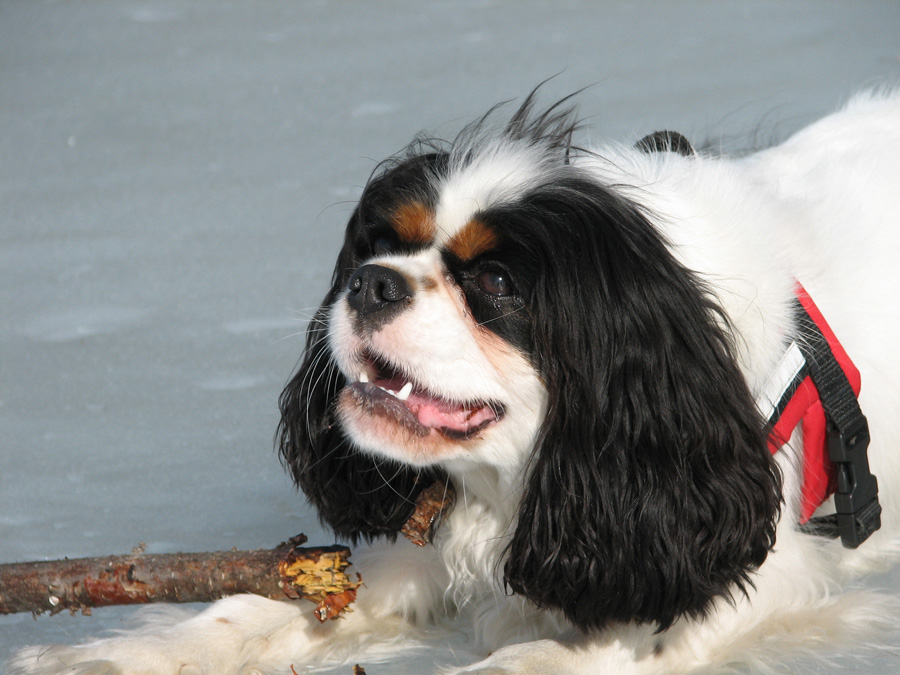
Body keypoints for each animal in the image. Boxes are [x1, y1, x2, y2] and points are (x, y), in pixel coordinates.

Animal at [12, 87, 900, 672]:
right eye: (381, 244)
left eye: (498, 284)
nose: (370, 282)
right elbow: (264, 603)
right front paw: (118, 653)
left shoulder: (739, 584)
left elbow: (533, 659)